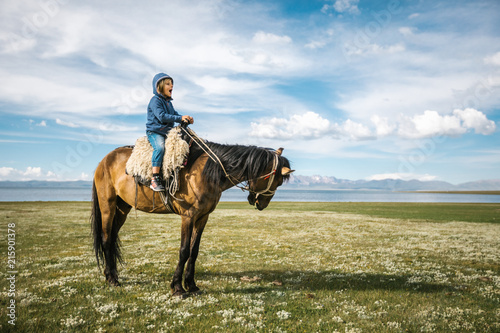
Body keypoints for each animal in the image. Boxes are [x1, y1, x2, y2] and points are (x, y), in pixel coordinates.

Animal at [90, 126, 292, 296]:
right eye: (278, 181)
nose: (261, 203)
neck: (207, 173)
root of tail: (104, 161)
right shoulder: (188, 217)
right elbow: (184, 250)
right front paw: (178, 287)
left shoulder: (203, 217)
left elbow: (194, 251)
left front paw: (192, 285)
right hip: (107, 206)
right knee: (106, 238)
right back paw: (112, 279)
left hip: (122, 208)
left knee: (113, 237)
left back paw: (112, 274)